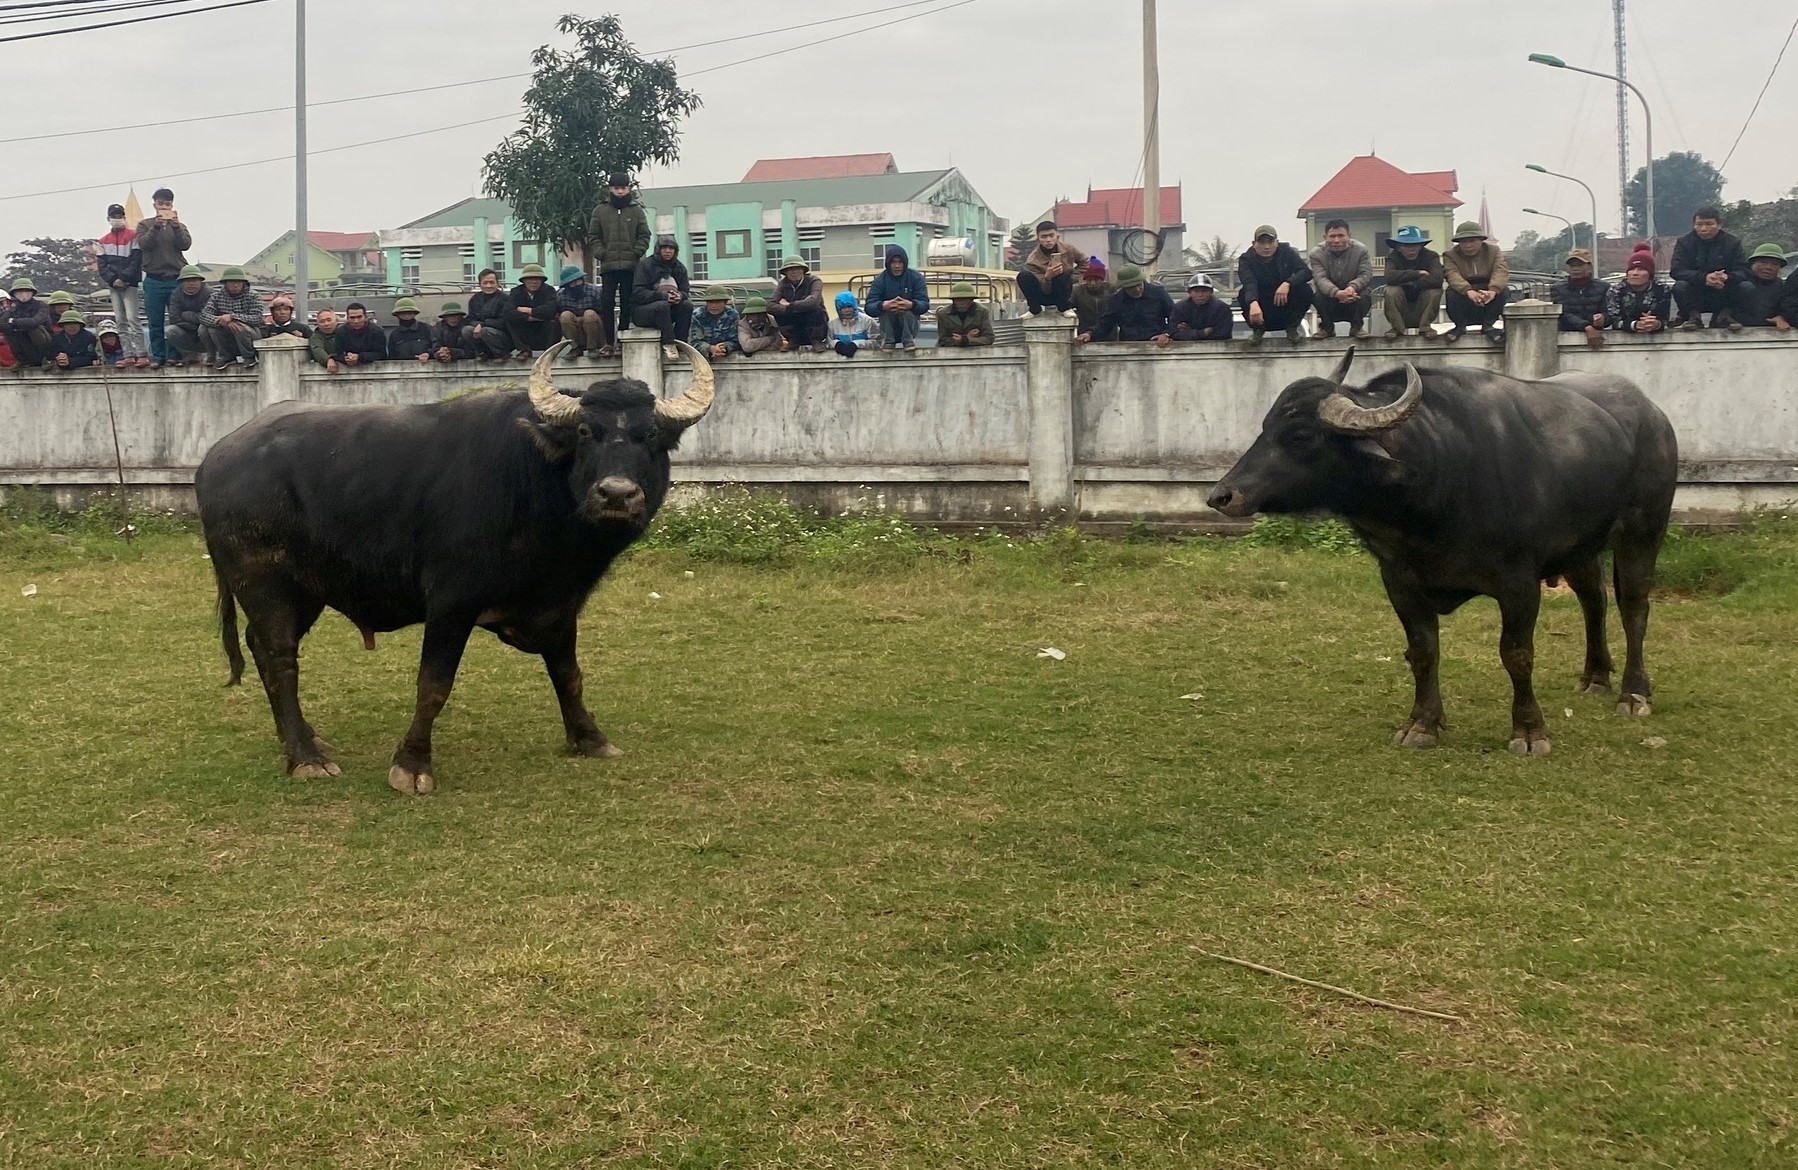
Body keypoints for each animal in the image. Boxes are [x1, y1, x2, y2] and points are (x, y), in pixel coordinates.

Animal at [198, 341, 715, 797]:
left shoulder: (559, 604)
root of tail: (217, 459)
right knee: (279, 656)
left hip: (307, 591)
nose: (616, 494)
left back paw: (304, 738)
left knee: (260, 648)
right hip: (265, 584)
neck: (535, 490)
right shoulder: (451, 603)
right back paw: (307, 758)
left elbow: (569, 674)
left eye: (652, 436)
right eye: (587, 432)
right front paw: (411, 766)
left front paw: (590, 738)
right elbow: (433, 684)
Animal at [1208, 348, 1682, 754]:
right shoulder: (1400, 581)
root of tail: (1655, 416)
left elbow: (1517, 655)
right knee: (1594, 600)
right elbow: (1422, 652)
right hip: (1581, 547)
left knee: (1633, 608)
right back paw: (1595, 677)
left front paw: (1529, 731)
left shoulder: (1519, 582)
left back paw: (1634, 693)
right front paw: (1422, 724)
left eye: (1300, 434)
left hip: (1643, 531)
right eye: (1265, 427)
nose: (1221, 496)